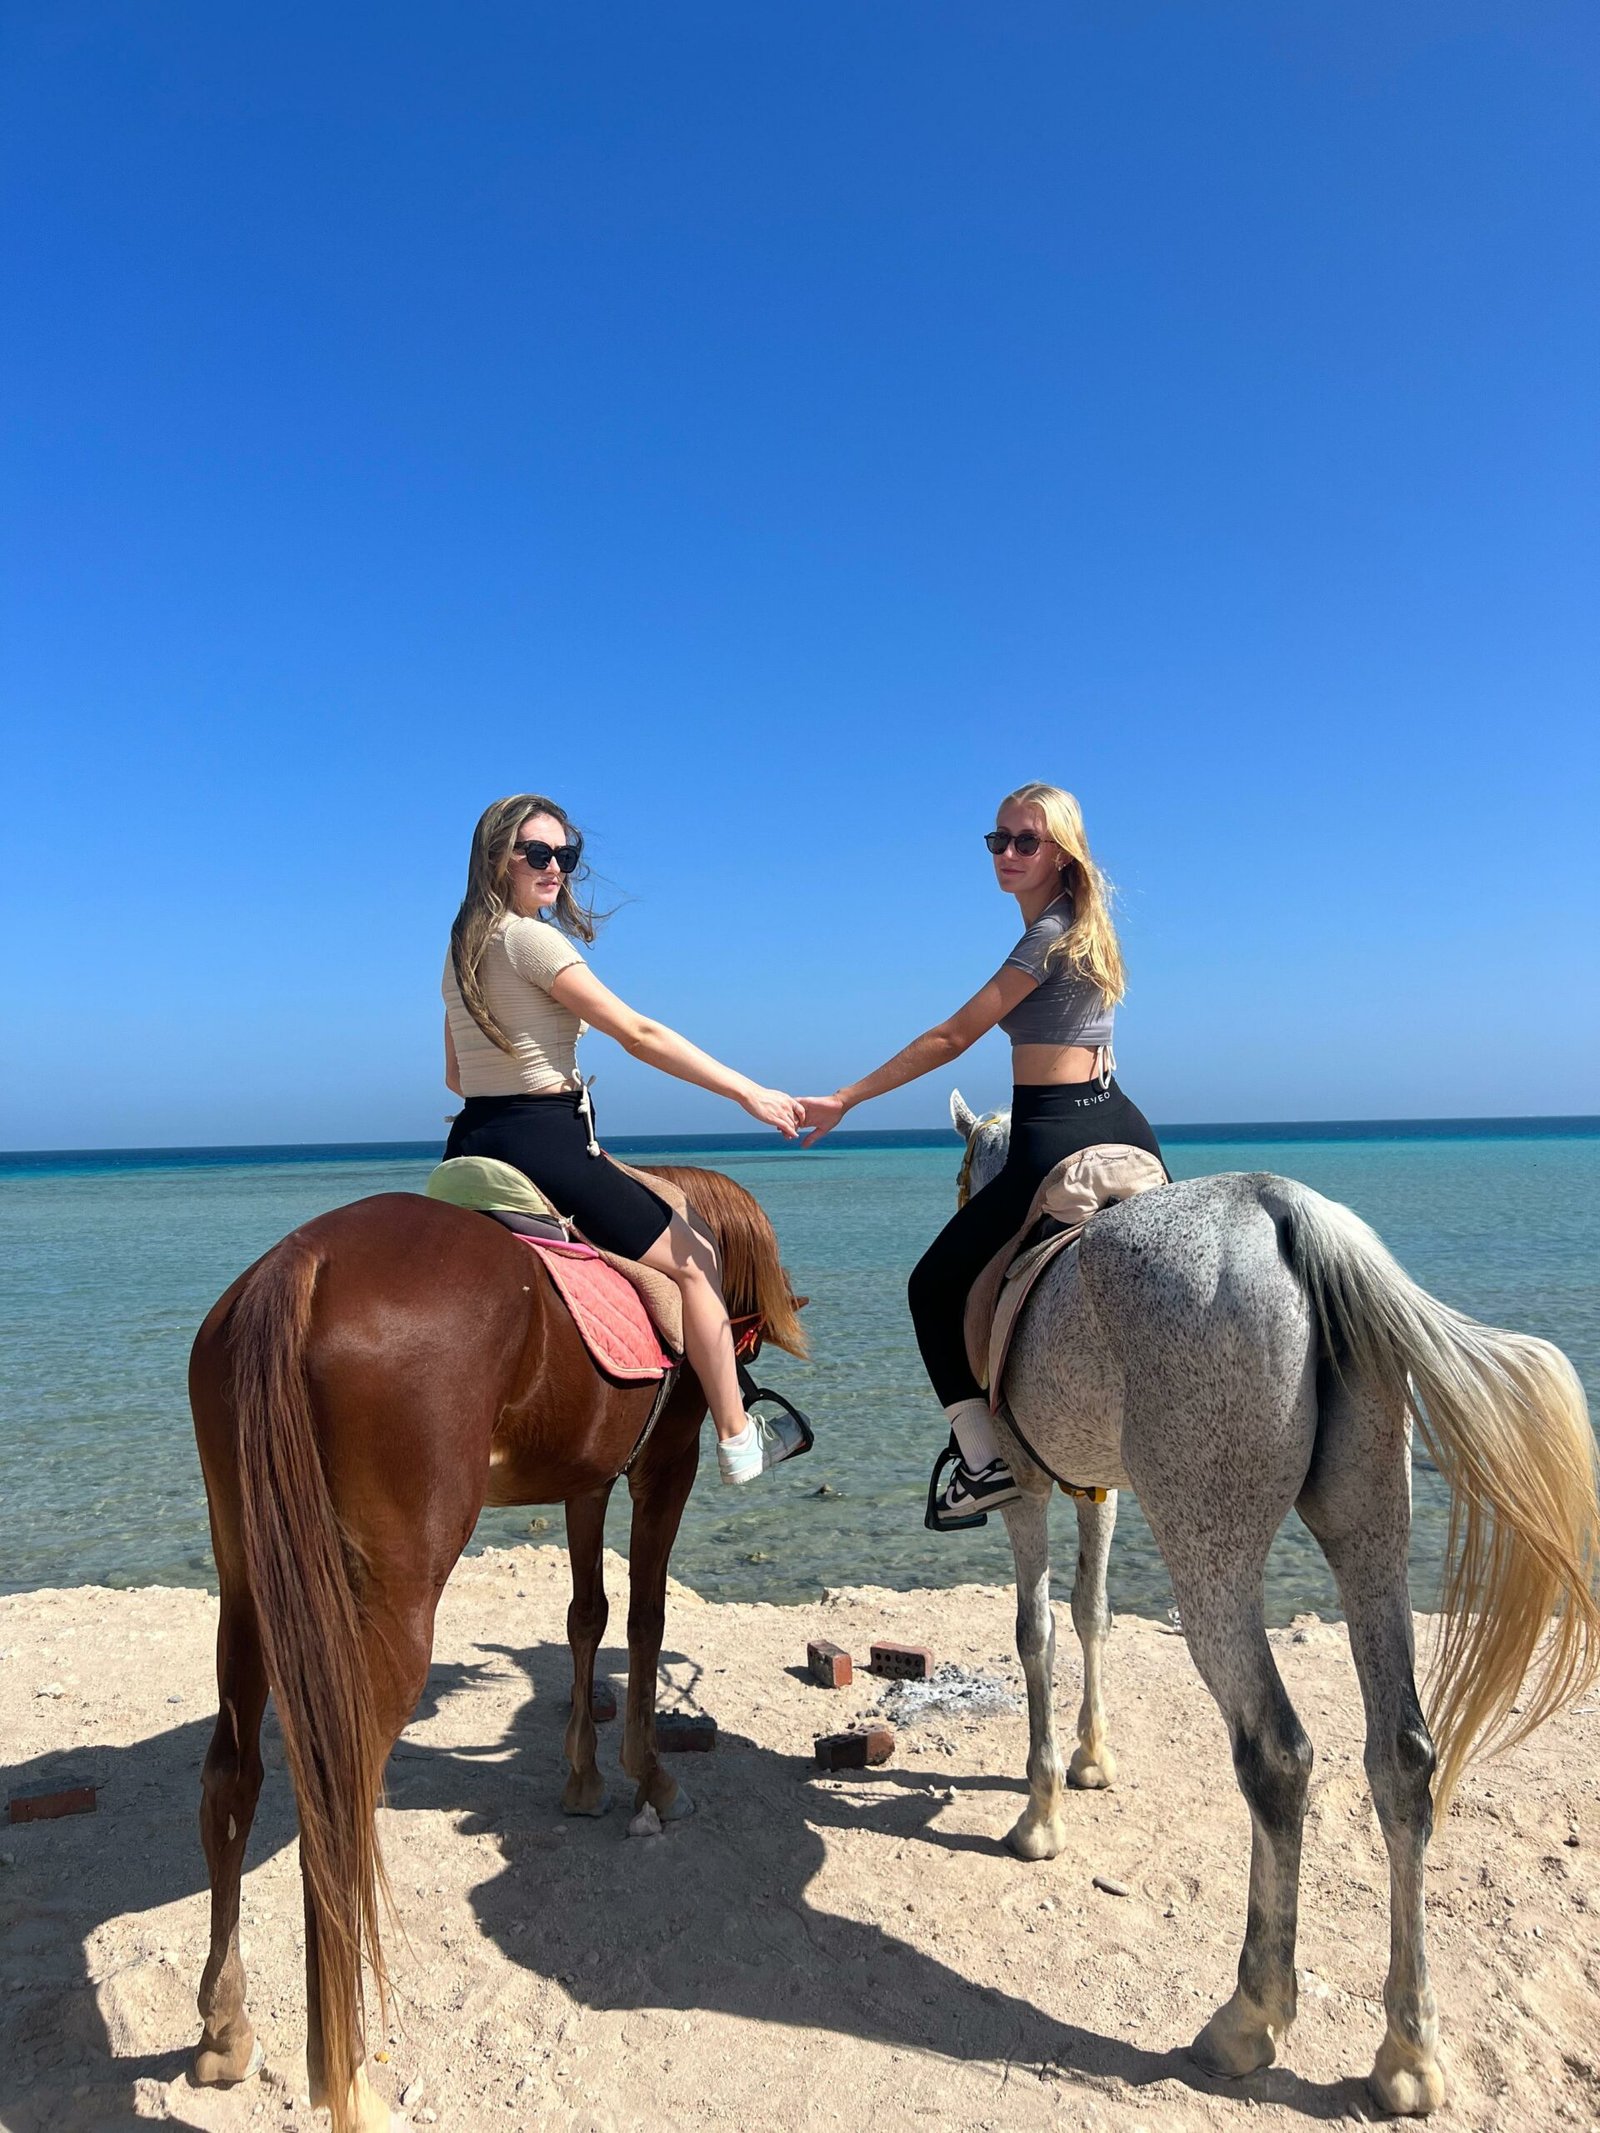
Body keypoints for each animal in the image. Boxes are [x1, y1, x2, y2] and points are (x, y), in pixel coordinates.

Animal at [186, 1166, 804, 2133]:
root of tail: (302, 1264)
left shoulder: (587, 1478)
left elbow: (587, 1612)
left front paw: (583, 1775)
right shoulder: (660, 1467)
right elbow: (646, 1617)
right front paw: (649, 1774)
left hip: (248, 1578)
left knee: (232, 1780)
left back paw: (224, 2024)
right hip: (389, 1600)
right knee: (338, 1809)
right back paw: (348, 2075)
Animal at [947, 1089, 1599, 2115]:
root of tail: (1289, 1215)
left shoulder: (1028, 1486)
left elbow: (1037, 1631)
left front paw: (1042, 1812)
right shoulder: (1099, 1487)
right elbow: (1092, 1613)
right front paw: (1092, 1761)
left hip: (1210, 1555)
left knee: (1277, 1755)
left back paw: (1250, 2015)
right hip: (1368, 1531)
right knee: (1401, 1758)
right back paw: (1409, 2053)